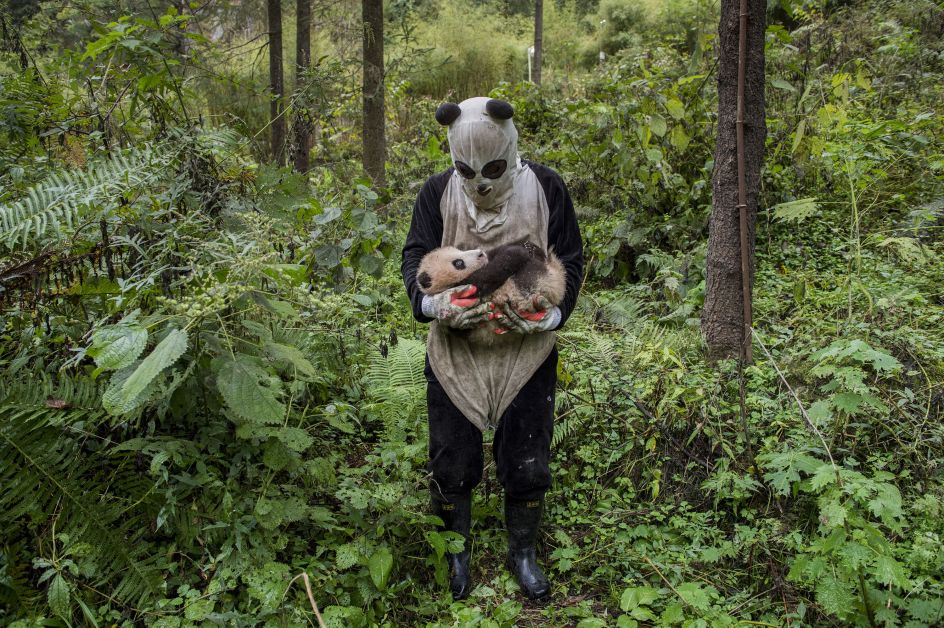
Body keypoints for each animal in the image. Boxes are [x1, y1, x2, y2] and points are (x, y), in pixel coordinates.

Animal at [416, 241, 566, 341]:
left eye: (459, 250)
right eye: (459, 263)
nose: (480, 253)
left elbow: (496, 253)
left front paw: (526, 245)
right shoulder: (468, 287)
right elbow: (496, 270)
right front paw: (519, 251)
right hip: (530, 281)